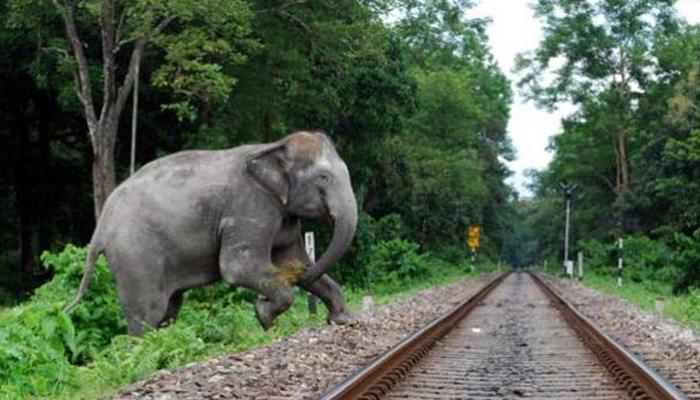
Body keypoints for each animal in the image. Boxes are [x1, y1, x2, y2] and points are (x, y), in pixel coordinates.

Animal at [65, 130, 358, 334]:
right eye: (323, 178)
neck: (274, 145)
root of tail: (100, 229)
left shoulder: (281, 214)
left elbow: (293, 260)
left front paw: (344, 320)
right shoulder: (250, 207)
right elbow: (237, 267)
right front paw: (263, 316)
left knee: (169, 308)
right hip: (135, 255)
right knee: (148, 312)